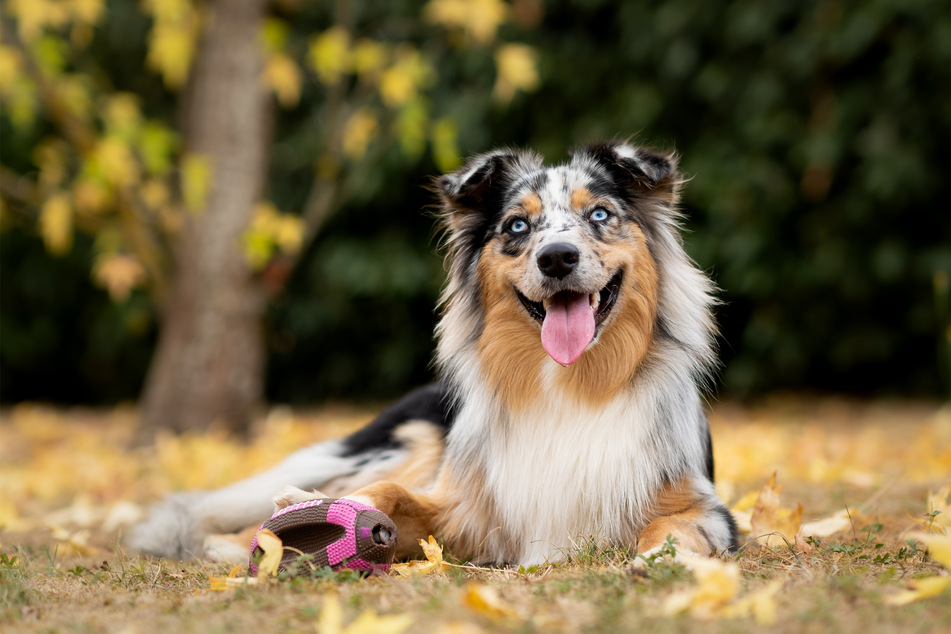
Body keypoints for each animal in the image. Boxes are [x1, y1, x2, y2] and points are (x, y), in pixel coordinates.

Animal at [128, 142, 736, 564]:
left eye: (601, 215)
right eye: (518, 225)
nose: (557, 257)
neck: (569, 383)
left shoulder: (704, 506)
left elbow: (675, 528)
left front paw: (664, 560)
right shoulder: (464, 508)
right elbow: (393, 496)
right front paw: (316, 513)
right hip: (403, 441)